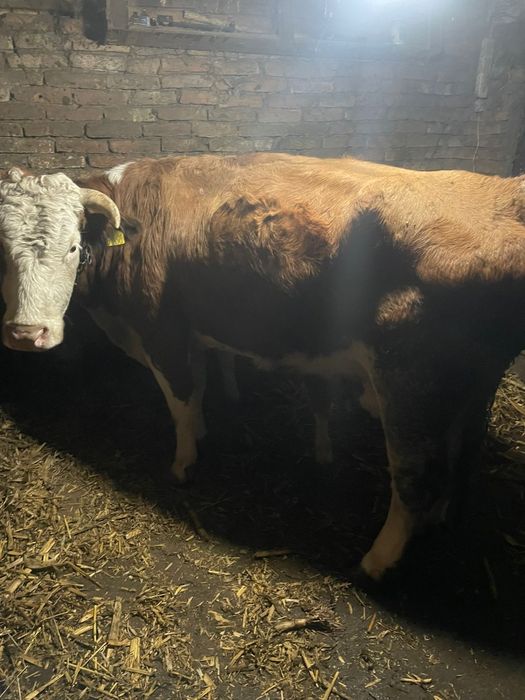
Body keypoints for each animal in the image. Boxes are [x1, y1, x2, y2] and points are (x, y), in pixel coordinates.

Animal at [1, 153, 525, 583]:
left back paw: (376, 561)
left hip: (408, 379)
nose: (27, 333)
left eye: (73, 248)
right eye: (3, 255)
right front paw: (207, 429)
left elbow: (181, 399)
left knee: (417, 475)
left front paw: (183, 462)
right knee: (460, 451)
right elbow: (202, 384)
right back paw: (439, 520)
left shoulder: (160, 329)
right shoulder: (196, 327)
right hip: (470, 382)